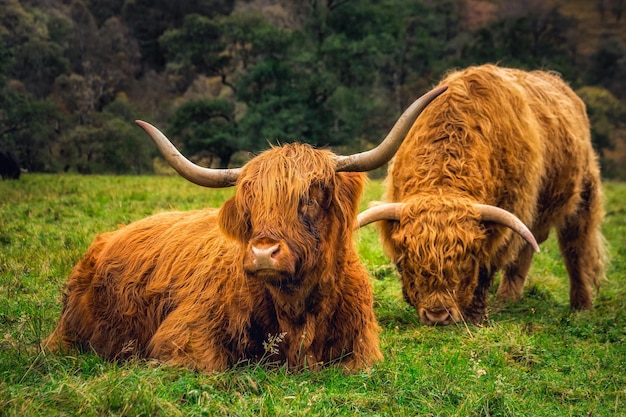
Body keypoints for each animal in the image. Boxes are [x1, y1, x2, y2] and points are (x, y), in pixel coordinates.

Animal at [46, 86, 446, 368]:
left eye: (311, 195)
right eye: (250, 202)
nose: (264, 253)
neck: (296, 312)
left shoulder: (363, 349)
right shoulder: (182, 335)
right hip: (69, 335)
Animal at [356, 65, 604, 324]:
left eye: (465, 260)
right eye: (409, 260)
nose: (437, 315)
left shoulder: (509, 214)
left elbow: (488, 265)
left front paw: (475, 316)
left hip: (583, 196)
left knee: (576, 249)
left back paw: (581, 307)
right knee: (527, 249)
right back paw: (507, 300)